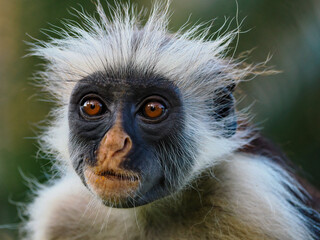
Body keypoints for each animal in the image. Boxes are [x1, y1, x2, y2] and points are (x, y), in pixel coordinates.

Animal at [20, 0, 320, 239]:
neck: (151, 215)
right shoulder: (60, 213)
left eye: (152, 109)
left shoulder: (257, 203)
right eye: (92, 107)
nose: (114, 144)